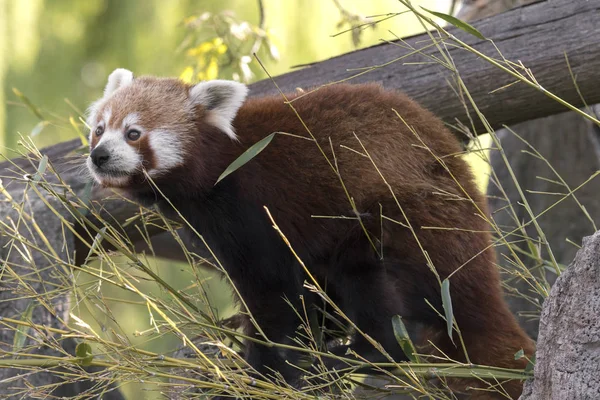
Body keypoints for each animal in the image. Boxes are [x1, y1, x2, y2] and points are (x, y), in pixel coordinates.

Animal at [84, 68, 536, 396]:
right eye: (99, 128)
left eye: (133, 133)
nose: (99, 155)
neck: (223, 165)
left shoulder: (255, 212)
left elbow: (271, 295)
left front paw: (263, 368)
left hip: (408, 223)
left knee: (374, 290)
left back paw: (354, 356)